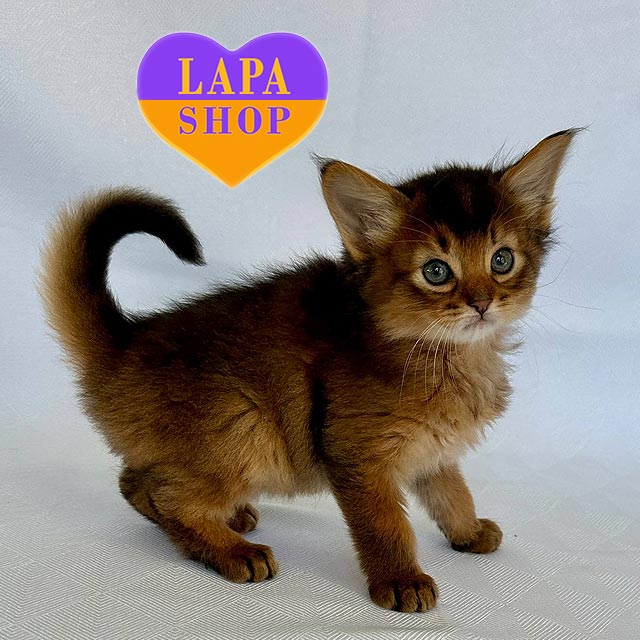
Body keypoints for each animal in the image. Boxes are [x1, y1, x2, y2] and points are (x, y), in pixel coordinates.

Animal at [40, 129, 577, 612]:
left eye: (501, 259)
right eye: (436, 271)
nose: (482, 303)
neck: (446, 355)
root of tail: (124, 342)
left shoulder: (434, 449)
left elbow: (452, 491)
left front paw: (468, 531)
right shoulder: (357, 454)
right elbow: (385, 524)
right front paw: (400, 580)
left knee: (134, 482)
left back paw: (229, 521)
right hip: (244, 422)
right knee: (164, 495)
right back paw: (234, 552)